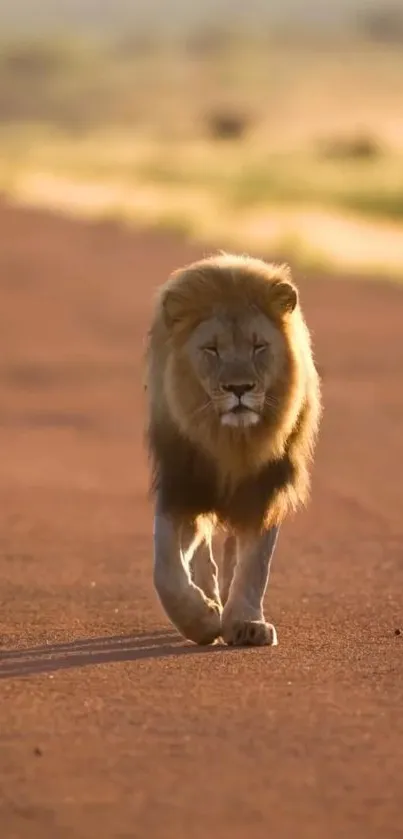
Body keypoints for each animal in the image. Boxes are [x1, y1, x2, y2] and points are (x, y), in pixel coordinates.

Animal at [145, 253, 322, 648]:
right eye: (212, 349)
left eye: (259, 347)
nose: (239, 388)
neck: (231, 443)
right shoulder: (182, 483)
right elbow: (165, 567)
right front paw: (200, 619)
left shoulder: (265, 487)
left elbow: (255, 563)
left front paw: (245, 623)